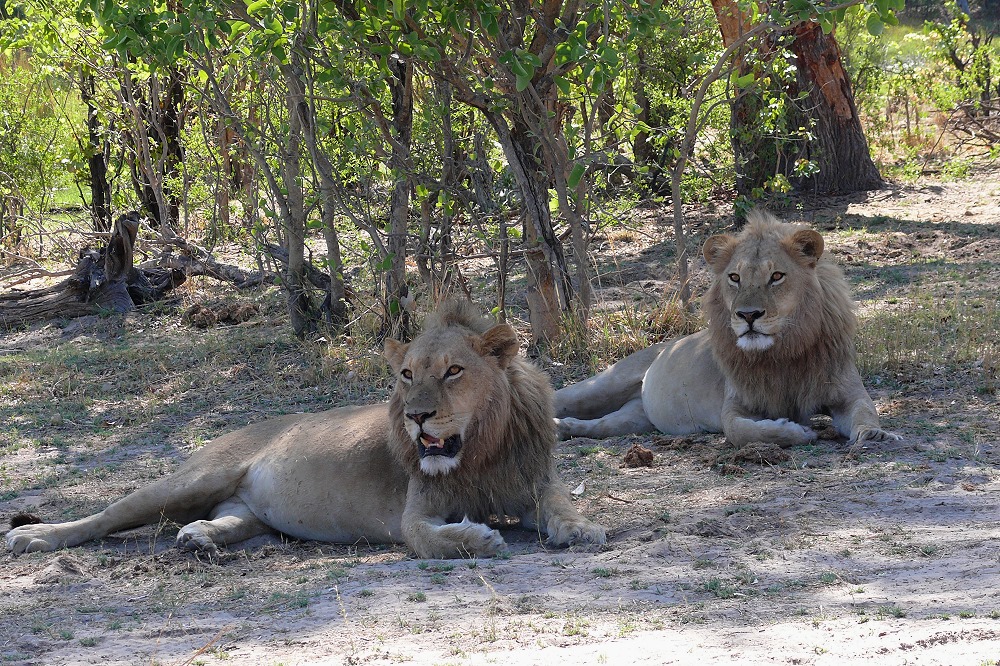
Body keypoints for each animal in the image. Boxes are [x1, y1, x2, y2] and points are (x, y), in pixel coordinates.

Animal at [7, 300, 604, 556]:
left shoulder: (532, 481)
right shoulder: (414, 517)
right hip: (190, 479)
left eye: (453, 371)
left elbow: (560, 504)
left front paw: (581, 529)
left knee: (237, 520)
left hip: (238, 506)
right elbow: (435, 539)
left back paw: (201, 535)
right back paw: (33, 535)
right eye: (407, 375)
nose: (416, 416)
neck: (479, 451)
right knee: (104, 517)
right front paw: (478, 535)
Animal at [556, 209, 900, 446]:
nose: (748, 315)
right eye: (734, 277)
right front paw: (795, 431)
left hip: (636, 417)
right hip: (602, 384)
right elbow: (741, 432)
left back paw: (565, 428)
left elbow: (865, 411)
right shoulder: (735, 405)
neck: (783, 353)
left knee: (602, 425)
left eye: (776, 276)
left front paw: (874, 435)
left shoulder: (846, 392)